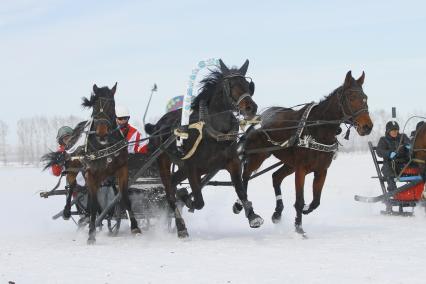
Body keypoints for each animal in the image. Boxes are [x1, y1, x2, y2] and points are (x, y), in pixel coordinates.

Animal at [79, 82, 141, 244]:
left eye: (112, 105)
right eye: (94, 106)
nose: (102, 134)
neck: (104, 147)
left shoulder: (122, 169)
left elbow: (124, 196)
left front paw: (135, 227)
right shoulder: (91, 174)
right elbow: (94, 204)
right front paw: (91, 234)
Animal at [145, 58, 262, 237]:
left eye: (248, 85)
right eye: (230, 85)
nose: (250, 108)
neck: (212, 132)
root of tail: (157, 126)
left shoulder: (232, 162)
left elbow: (241, 190)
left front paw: (252, 216)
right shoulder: (192, 167)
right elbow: (199, 202)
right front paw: (186, 198)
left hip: (184, 168)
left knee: (173, 182)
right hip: (163, 160)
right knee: (170, 192)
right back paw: (181, 226)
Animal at [236, 70, 372, 235]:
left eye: (365, 98)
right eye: (351, 98)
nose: (367, 126)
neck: (317, 129)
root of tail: (259, 119)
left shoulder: (321, 170)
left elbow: (316, 201)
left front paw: (305, 210)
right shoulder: (301, 169)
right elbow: (299, 200)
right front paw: (299, 227)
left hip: (289, 163)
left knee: (276, 177)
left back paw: (277, 213)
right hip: (259, 156)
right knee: (245, 176)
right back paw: (240, 205)